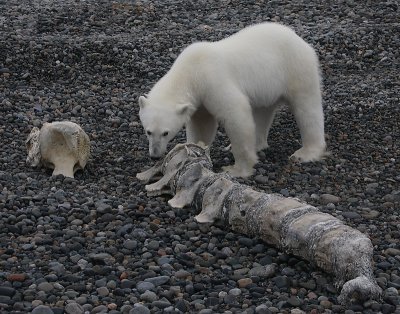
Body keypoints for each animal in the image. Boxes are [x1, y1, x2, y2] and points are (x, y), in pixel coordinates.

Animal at [139, 22, 326, 177]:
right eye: (148, 131)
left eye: (166, 132)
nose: (154, 155)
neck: (191, 72)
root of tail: (299, 39)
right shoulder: (200, 98)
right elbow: (202, 125)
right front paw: (193, 151)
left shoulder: (213, 81)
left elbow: (236, 115)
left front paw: (237, 169)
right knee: (262, 112)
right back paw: (256, 144)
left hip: (296, 68)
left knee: (307, 109)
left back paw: (306, 153)